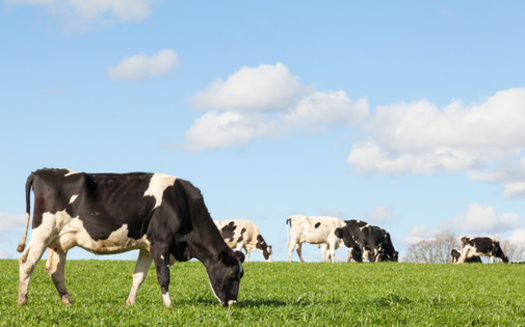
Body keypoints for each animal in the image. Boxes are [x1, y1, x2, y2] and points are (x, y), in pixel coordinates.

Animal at [17, 169, 245, 308]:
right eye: (233, 273)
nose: (233, 304)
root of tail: (43, 171)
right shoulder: (161, 242)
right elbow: (163, 275)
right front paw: (169, 304)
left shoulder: (147, 247)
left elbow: (139, 276)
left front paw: (130, 303)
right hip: (43, 231)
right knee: (27, 262)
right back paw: (22, 301)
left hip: (59, 241)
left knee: (55, 270)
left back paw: (67, 301)